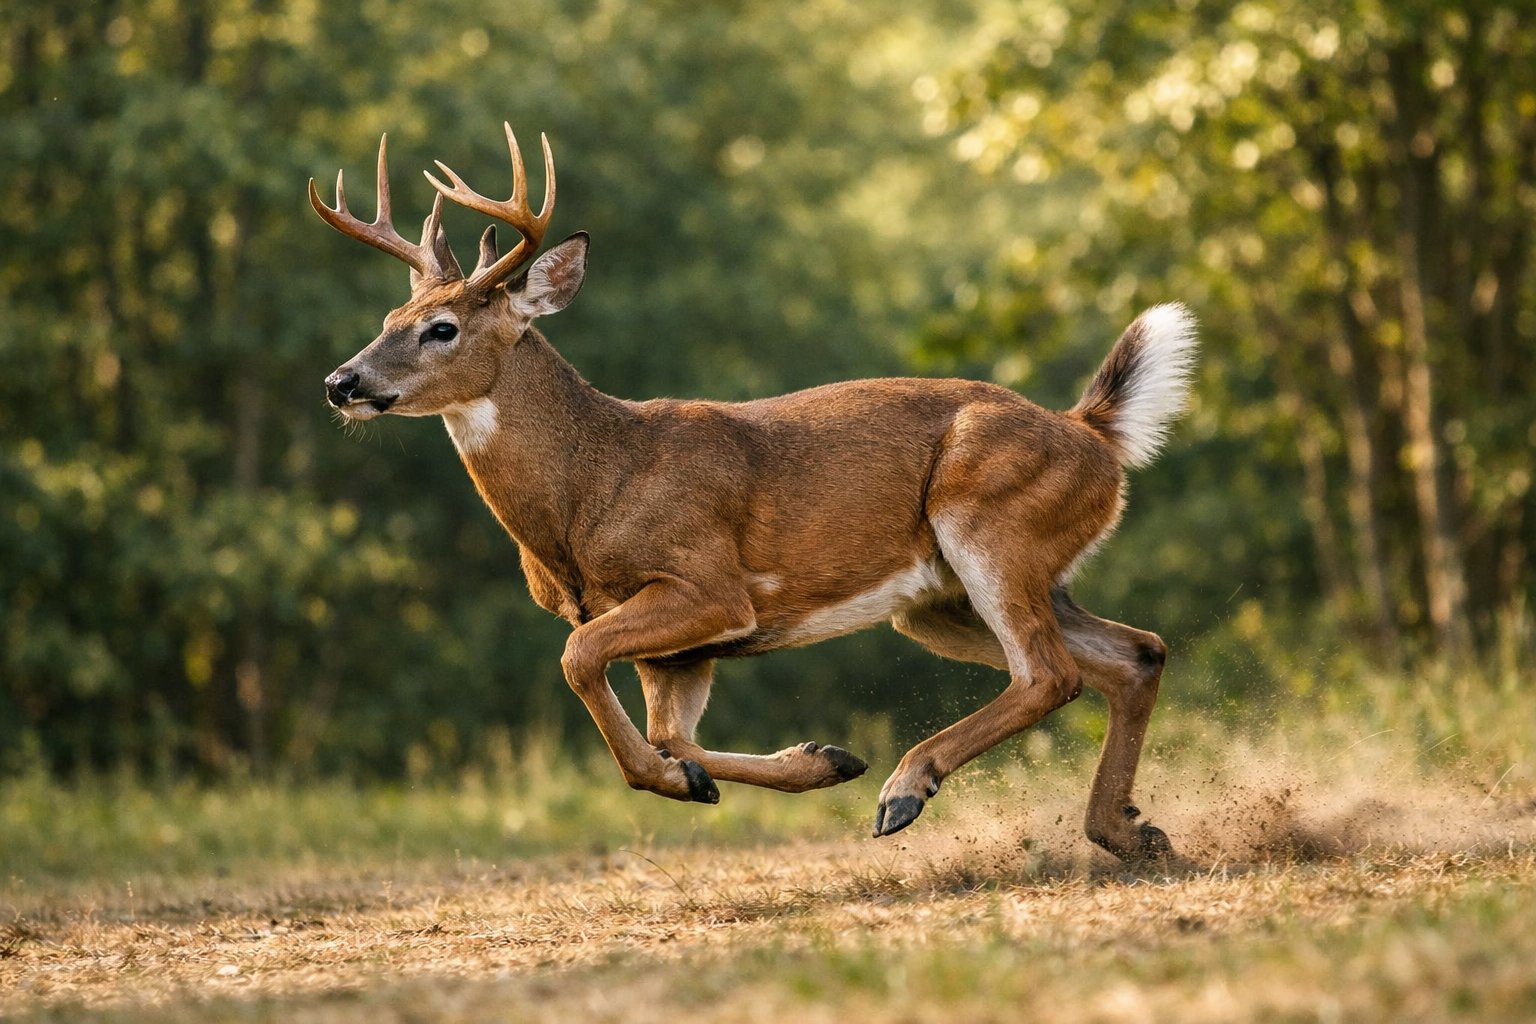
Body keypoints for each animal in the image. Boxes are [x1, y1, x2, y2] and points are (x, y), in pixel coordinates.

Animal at [311, 124, 1196, 862]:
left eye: (443, 328)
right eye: (389, 314)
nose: (340, 383)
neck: (585, 493)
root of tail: (1090, 433)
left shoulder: (707, 585)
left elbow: (579, 659)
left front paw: (732, 775)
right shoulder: (678, 652)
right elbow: (668, 736)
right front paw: (810, 761)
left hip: (989, 525)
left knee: (1050, 673)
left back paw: (906, 790)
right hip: (942, 600)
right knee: (1134, 652)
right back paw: (1128, 833)